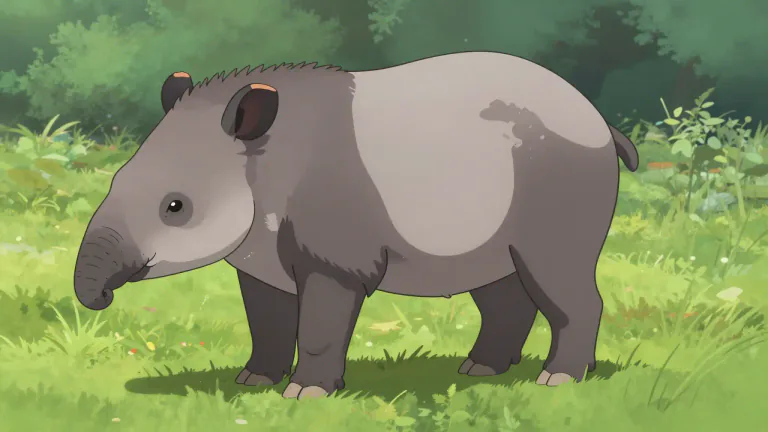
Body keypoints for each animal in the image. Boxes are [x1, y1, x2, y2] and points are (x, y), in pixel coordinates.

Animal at [73, 51, 639, 400]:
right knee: (501, 289)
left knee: (562, 278)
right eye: (117, 177)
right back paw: (481, 368)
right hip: (497, 221)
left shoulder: (335, 245)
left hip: (559, 187)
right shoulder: (259, 253)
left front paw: (305, 392)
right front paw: (253, 380)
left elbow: (322, 319)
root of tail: (601, 122)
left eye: (176, 206)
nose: (98, 296)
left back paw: (558, 378)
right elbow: (266, 316)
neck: (264, 162)